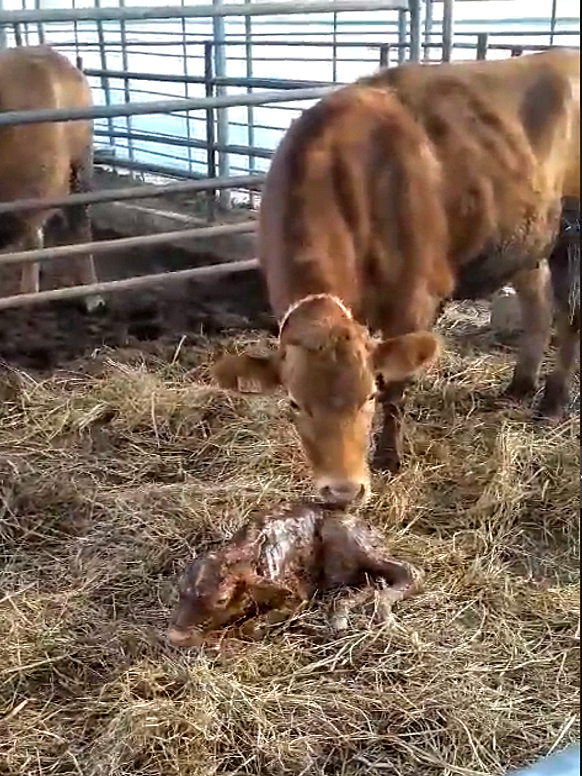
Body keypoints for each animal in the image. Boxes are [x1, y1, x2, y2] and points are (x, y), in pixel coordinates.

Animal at [167, 500, 422, 644]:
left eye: (221, 600)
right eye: (180, 591)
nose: (177, 636)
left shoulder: (297, 596)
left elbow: (249, 627)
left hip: (354, 543)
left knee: (410, 572)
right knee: (371, 584)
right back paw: (339, 618)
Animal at [213, 50, 580, 510]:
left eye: (368, 396)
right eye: (295, 403)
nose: (342, 491)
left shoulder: (414, 298)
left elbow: (399, 385)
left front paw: (389, 457)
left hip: (572, 232)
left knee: (570, 317)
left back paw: (553, 401)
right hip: (527, 238)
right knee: (537, 303)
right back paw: (520, 385)